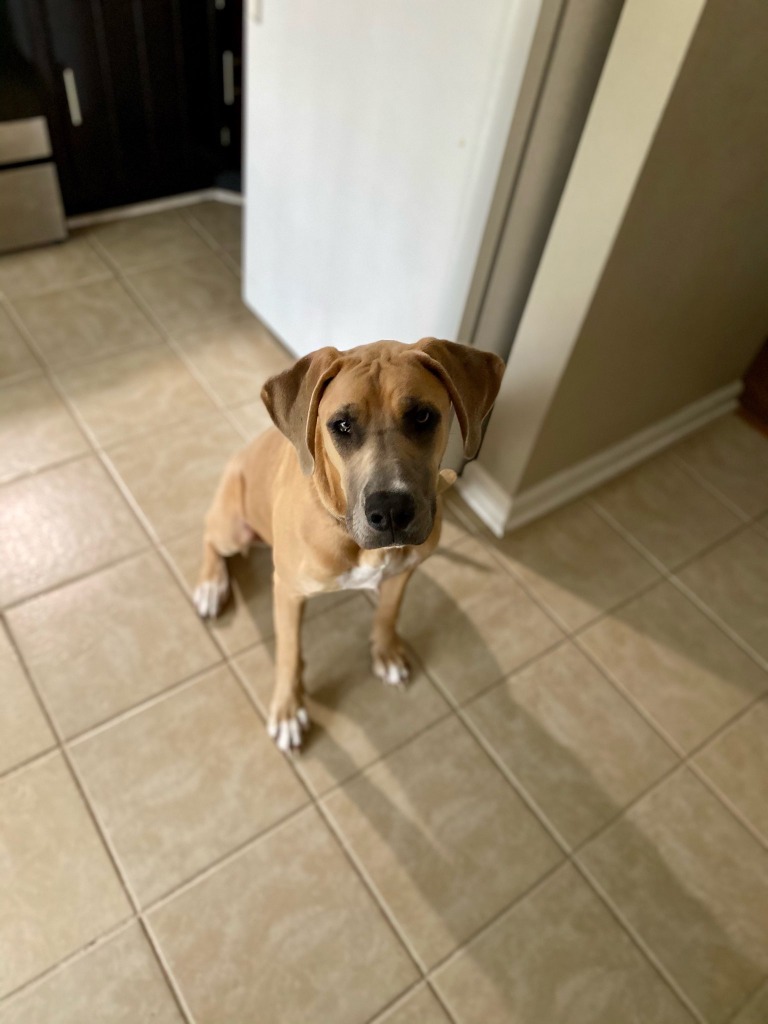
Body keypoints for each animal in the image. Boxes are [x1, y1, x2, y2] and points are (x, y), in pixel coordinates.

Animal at [194, 337, 504, 752]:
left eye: (423, 417)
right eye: (341, 426)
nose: (391, 511)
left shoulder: (404, 571)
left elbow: (389, 612)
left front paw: (385, 652)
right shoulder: (288, 592)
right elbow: (289, 653)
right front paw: (288, 709)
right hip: (233, 528)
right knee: (210, 536)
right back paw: (211, 585)